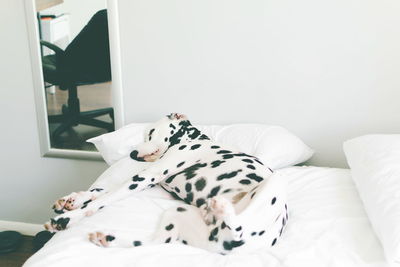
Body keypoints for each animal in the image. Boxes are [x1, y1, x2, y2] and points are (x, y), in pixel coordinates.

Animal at [45, 113, 290, 255]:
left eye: (151, 133)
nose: (132, 154)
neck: (191, 140)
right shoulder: (148, 180)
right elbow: (101, 191)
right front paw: (73, 199)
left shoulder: (146, 177)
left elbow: (103, 199)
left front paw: (67, 218)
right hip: (176, 213)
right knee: (157, 241)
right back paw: (106, 239)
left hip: (273, 183)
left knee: (236, 224)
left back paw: (223, 208)